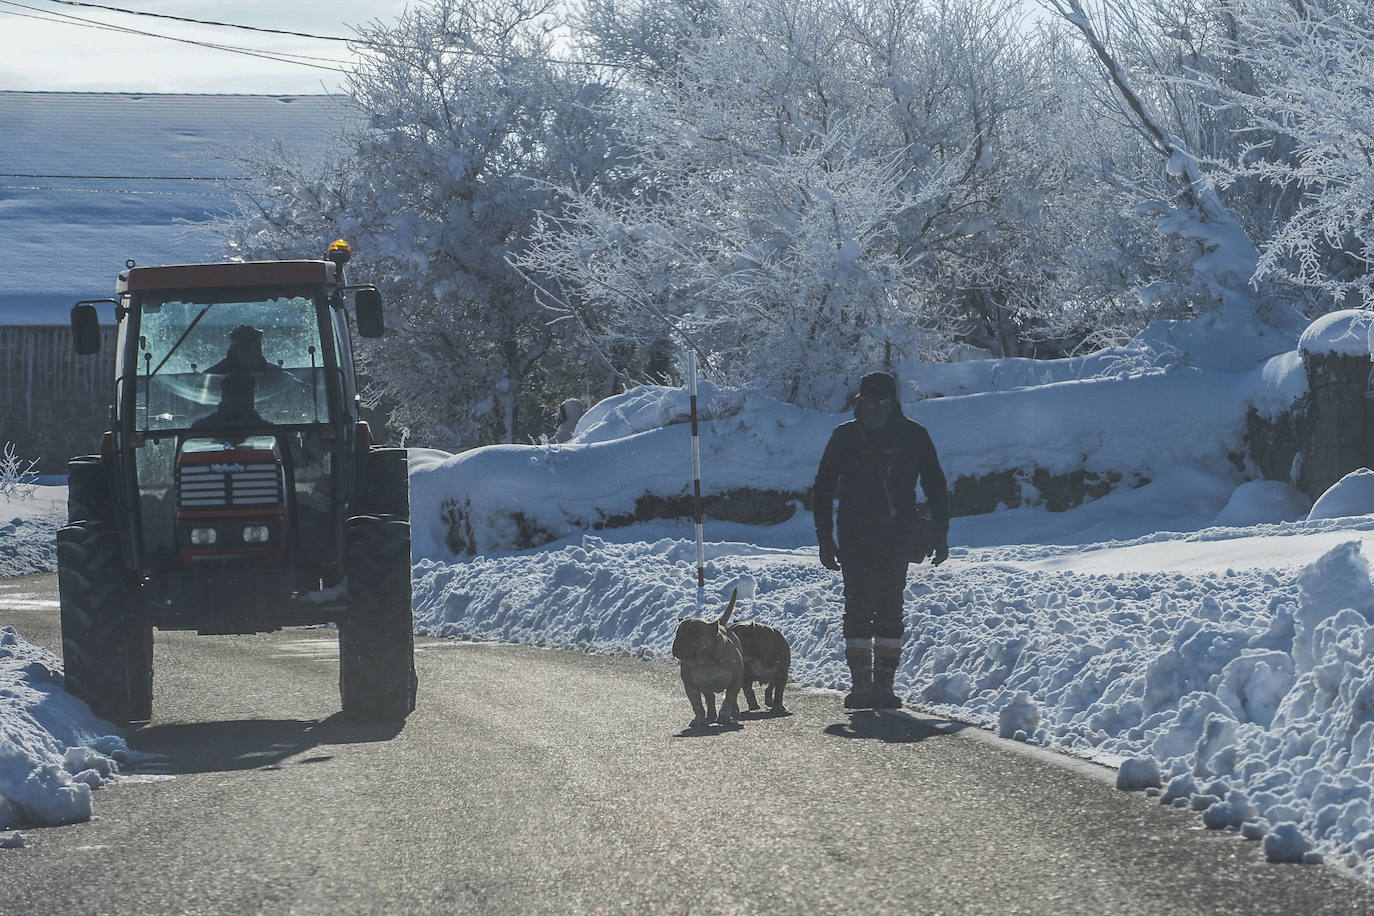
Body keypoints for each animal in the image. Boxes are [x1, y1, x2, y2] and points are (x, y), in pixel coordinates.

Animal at [670, 587, 747, 730]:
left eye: (694, 633)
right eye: (678, 633)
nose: (679, 642)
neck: (705, 661)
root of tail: (720, 624)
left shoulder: (735, 680)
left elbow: (729, 698)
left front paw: (724, 716)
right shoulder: (691, 687)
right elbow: (697, 704)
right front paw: (699, 719)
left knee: (731, 699)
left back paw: (734, 713)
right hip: (706, 688)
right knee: (710, 698)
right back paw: (710, 716)